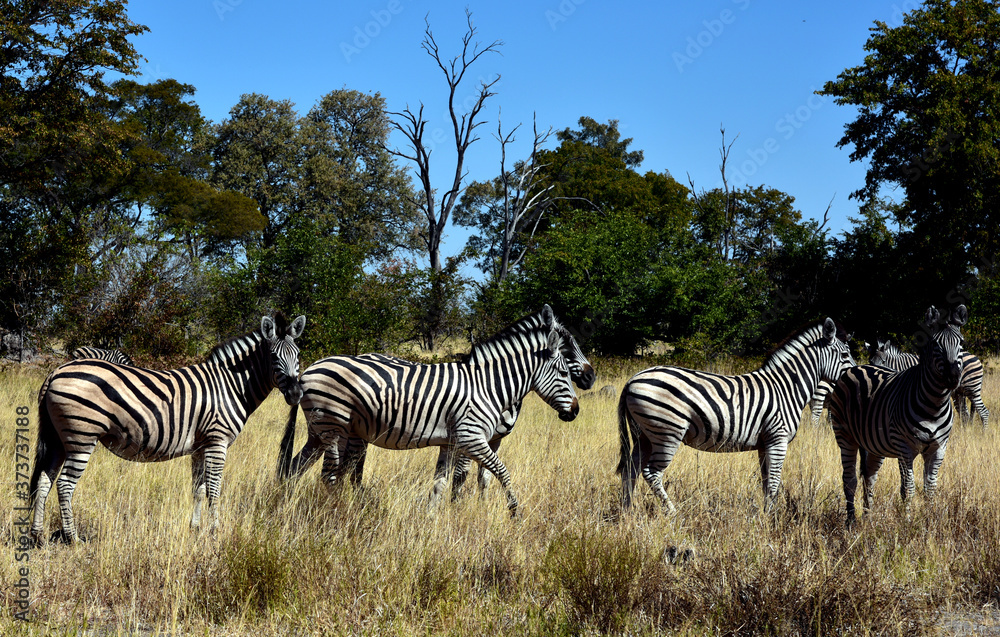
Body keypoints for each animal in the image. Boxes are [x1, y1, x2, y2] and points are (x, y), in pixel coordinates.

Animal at [30, 314, 306, 544]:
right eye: (274, 358)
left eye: (298, 356)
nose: (295, 394)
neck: (230, 385)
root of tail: (56, 371)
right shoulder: (217, 441)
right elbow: (214, 489)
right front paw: (215, 531)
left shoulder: (200, 446)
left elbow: (199, 489)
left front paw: (195, 529)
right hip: (82, 438)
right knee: (64, 484)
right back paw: (73, 538)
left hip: (57, 439)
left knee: (44, 479)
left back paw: (38, 536)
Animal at [277, 305, 579, 517]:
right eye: (564, 372)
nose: (575, 411)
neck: (486, 386)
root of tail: (307, 371)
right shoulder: (472, 438)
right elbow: (501, 471)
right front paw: (514, 510)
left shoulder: (451, 442)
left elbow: (441, 484)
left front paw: (432, 521)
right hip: (333, 426)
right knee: (328, 476)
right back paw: (336, 513)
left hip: (320, 432)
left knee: (294, 468)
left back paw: (286, 506)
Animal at [618, 318, 855, 513]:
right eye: (845, 355)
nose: (855, 376)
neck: (786, 387)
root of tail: (632, 379)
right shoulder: (777, 439)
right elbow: (774, 482)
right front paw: (771, 518)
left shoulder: (764, 443)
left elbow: (766, 482)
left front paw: (766, 514)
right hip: (667, 432)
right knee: (651, 473)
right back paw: (672, 513)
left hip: (643, 435)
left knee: (630, 470)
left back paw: (628, 513)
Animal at [827, 305, 966, 526]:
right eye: (936, 344)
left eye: (961, 343)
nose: (953, 378)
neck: (934, 405)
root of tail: (858, 367)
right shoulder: (904, 449)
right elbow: (908, 489)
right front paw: (908, 523)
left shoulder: (939, 448)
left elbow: (930, 489)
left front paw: (930, 521)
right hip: (845, 437)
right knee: (850, 480)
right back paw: (851, 521)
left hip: (873, 445)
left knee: (869, 477)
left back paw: (868, 517)